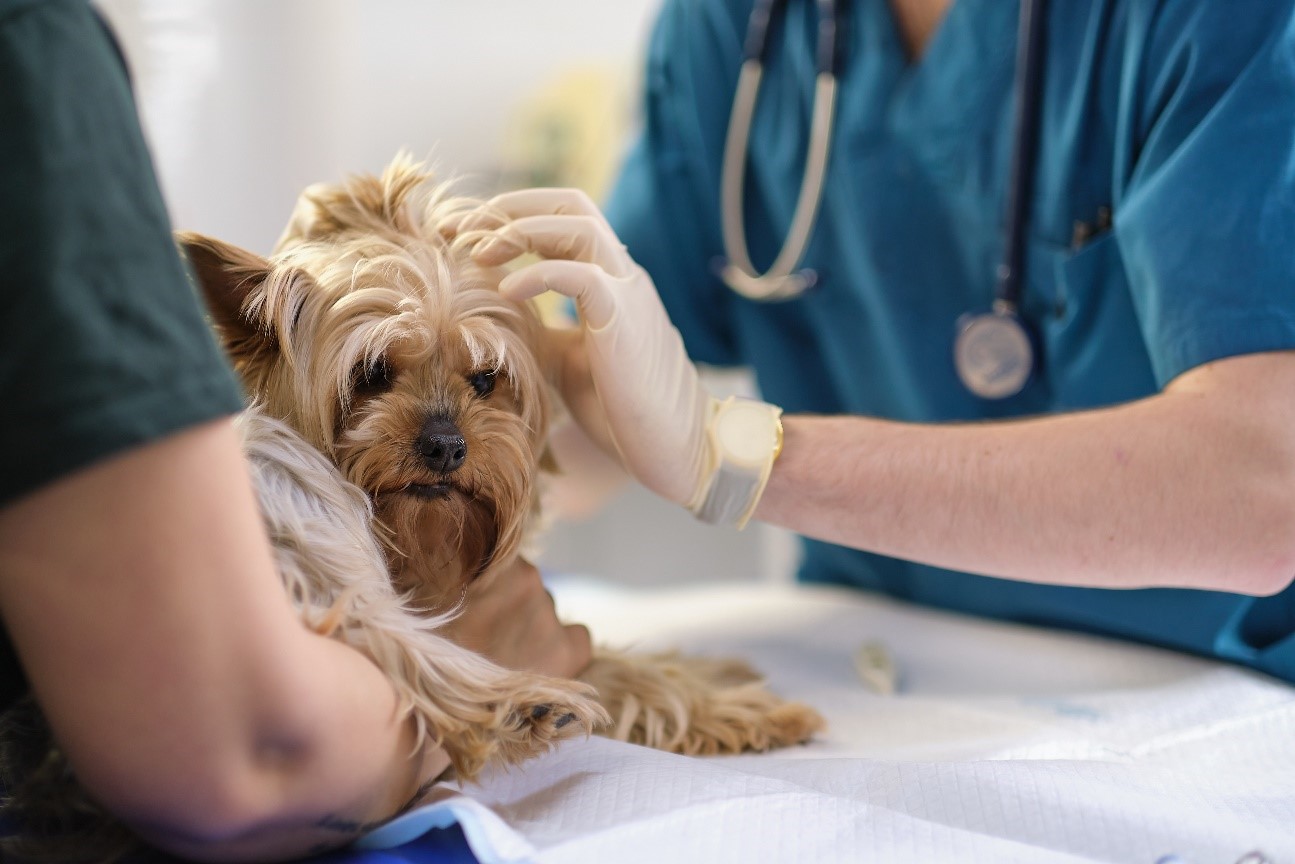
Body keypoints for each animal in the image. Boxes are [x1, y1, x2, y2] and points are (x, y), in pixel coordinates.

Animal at [182, 153, 823, 756]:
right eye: (372, 374)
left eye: (485, 380)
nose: (446, 446)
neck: (424, 556)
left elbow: (633, 673)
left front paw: (729, 686)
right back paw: (521, 709)